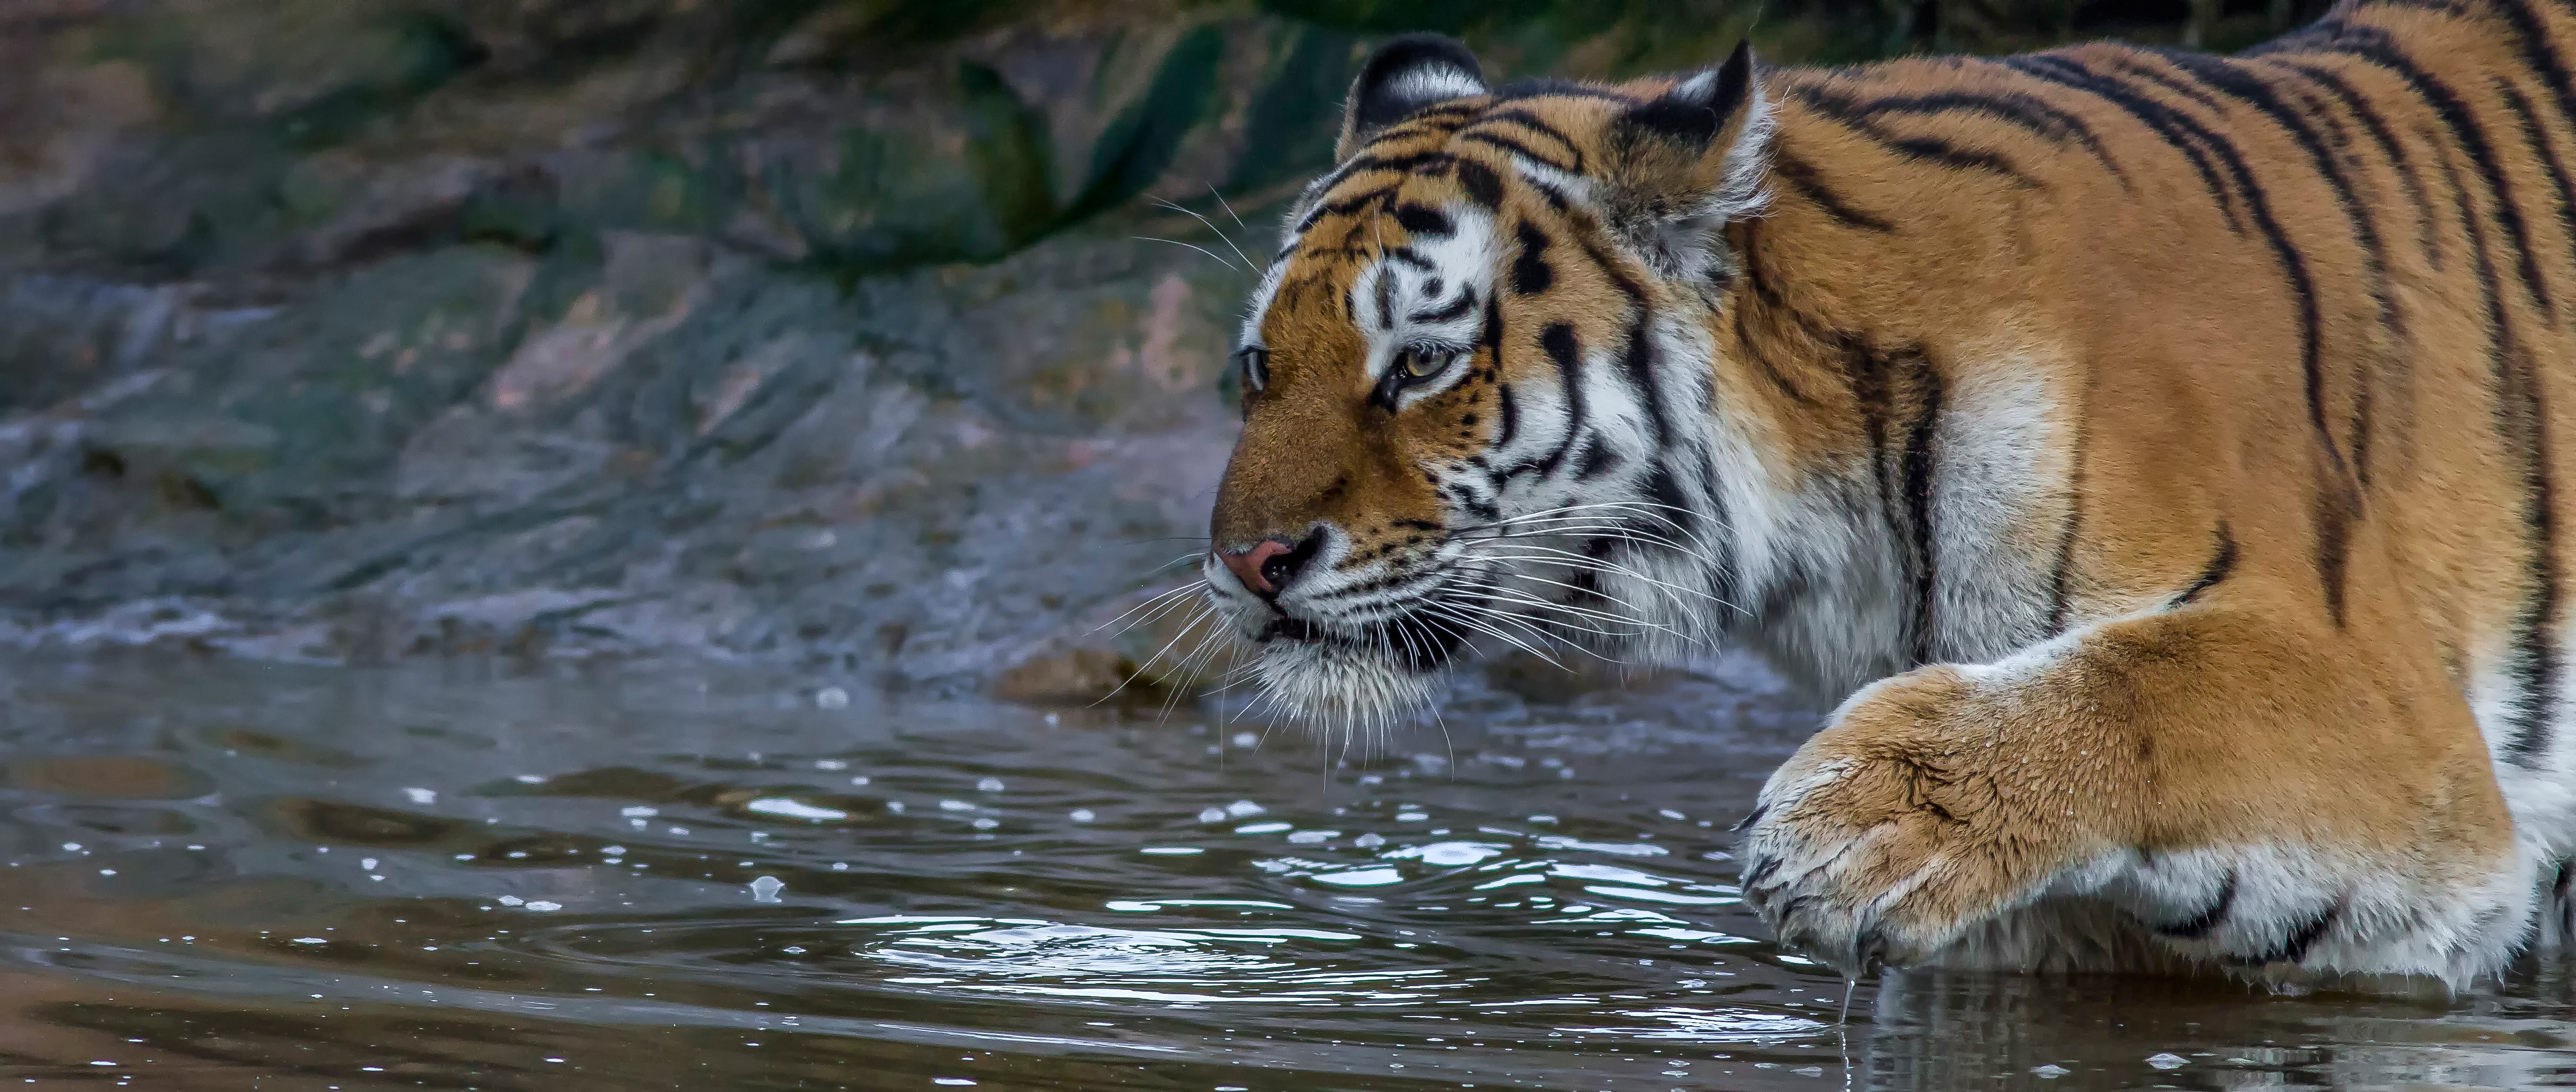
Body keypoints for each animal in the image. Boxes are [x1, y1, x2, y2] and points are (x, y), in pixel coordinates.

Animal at [1200, 2, 2576, 989]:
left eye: (1419, 364)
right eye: (1259, 367)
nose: (1243, 563)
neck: (1843, 545)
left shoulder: (2395, 718)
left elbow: (2145, 681)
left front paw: (1856, 829)